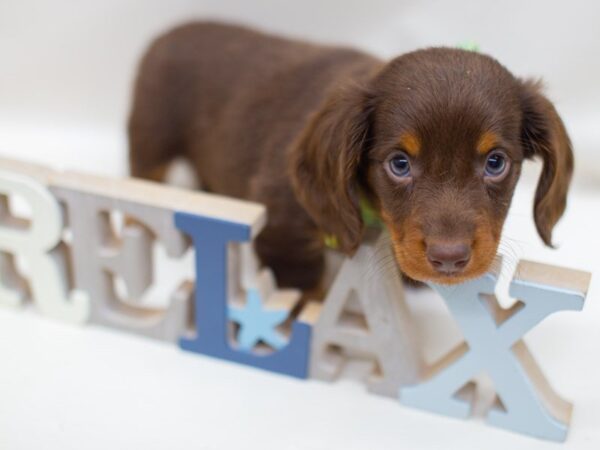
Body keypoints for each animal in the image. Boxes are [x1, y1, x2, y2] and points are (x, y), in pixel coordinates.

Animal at [130, 21, 572, 290]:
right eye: (399, 164)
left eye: (495, 163)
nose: (449, 259)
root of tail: (170, 32)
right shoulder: (282, 229)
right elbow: (300, 284)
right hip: (150, 140)